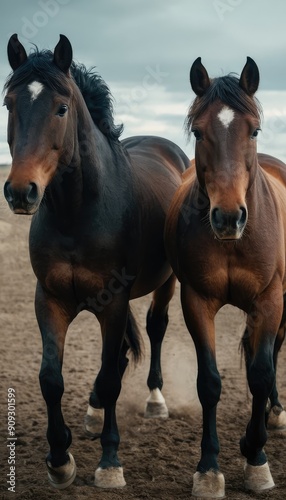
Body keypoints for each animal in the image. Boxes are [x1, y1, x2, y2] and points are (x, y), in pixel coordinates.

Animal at [3, 34, 190, 488]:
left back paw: (155, 400)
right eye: (10, 104)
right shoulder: (50, 299)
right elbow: (51, 379)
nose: (21, 191)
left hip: (165, 283)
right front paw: (59, 458)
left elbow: (110, 377)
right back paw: (91, 411)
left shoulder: (114, 303)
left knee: (155, 329)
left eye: (61, 107)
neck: (78, 213)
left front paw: (109, 462)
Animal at [164, 57, 286, 496]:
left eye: (254, 129)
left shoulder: (270, 301)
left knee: (272, 355)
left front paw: (256, 458)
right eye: (199, 132)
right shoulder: (196, 301)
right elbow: (210, 383)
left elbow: (262, 374)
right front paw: (209, 469)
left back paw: (273, 414)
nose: (229, 217)